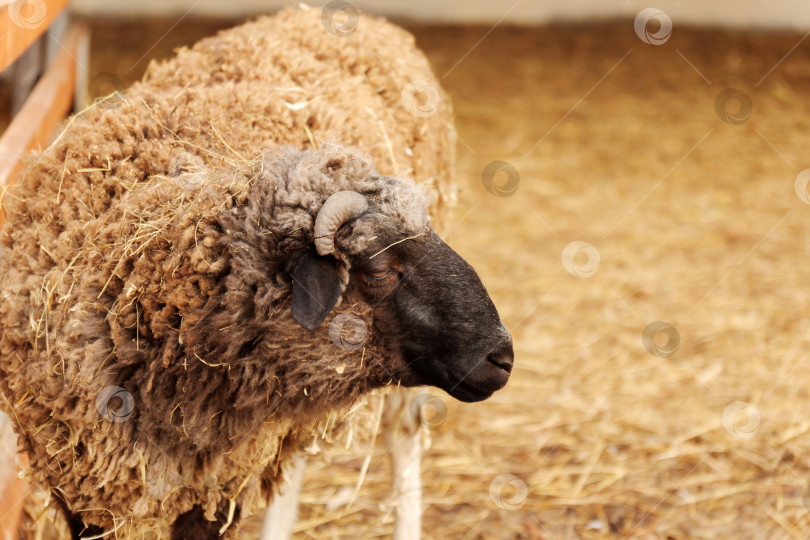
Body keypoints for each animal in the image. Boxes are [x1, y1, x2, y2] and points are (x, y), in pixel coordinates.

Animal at [0, 6, 514, 538]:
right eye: (377, 268)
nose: (502, 356)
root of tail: (367, 18)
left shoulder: (217, 491)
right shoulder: (85, 487)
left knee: (403, 436)